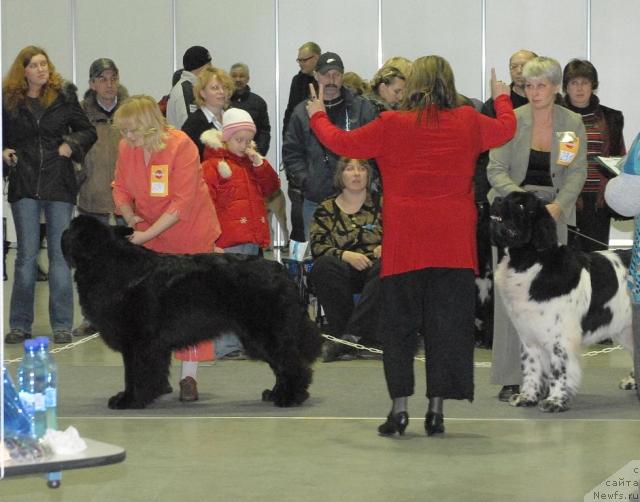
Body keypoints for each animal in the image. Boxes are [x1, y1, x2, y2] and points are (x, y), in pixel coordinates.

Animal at [62, 215, 322, 408]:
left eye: (71, 228)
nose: (62, 232)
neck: (108, 262)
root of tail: (281, 270)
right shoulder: (150, 344)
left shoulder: (138, 341)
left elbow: (134, 373)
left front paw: (129, 400)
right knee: (281, 365)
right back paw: (276, 393)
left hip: (265, 333)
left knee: (290, 363)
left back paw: (290, 397)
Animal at [490, 192, 636, 412]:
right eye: (507, 196)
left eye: (522, 205)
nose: (496, 199)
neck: (532, 262)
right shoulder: (529, 335)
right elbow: (531, 368)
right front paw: (527, 397)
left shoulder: (561, 338)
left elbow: (559, 370)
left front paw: (555, 401)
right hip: (625, 330)